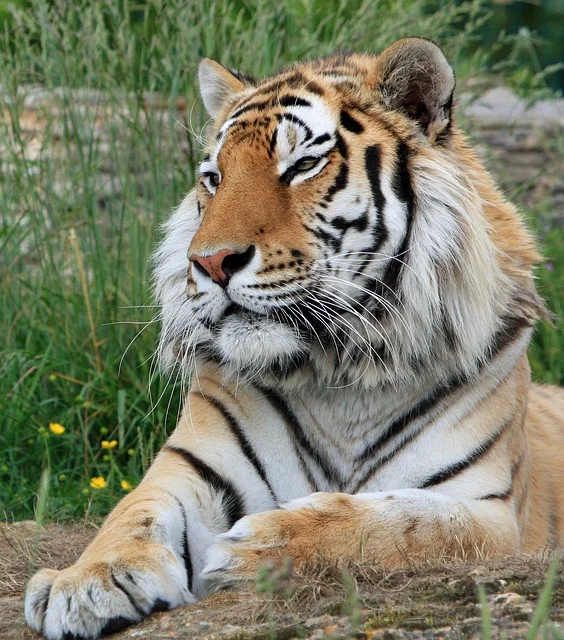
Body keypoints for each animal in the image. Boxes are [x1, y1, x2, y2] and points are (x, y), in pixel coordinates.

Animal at [25, 37, 564, 640]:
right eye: (214, 178)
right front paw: (84, 582)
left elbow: (397, 523)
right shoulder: (191, 467)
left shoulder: (486, 508)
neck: (345, 369)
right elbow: (130, 515)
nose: (210, 261)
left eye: (303, 165)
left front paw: (258, 547)